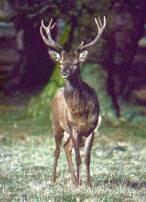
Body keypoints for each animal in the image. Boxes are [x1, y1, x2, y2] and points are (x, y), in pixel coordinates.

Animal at [40, 16, 106, 186]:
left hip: (68, 131)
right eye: (61, 62)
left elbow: (87, 158)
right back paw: (54, 179)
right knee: (57, 150)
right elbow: (78, 159)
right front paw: (80, 185)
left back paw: (74, 179)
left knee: (66, 147)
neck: (80, 111)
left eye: (76, 63)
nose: (64, 72)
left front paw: (88, 184)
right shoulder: (74, 128)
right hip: (56, 125)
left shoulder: (92, 129)